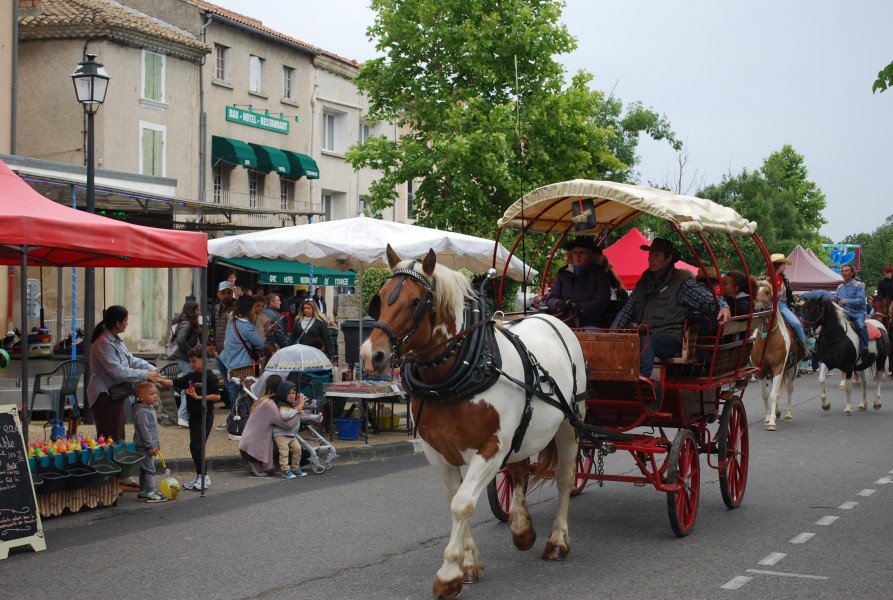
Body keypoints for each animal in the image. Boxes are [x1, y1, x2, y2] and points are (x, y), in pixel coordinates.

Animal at [360, 246, 584, 596]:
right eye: (380, 298)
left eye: (415, 302)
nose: (372, 356)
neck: (454, 373)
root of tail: (551, 317)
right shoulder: (436, 451)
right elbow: (455, 498)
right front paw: (468, 562)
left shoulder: (491, 448)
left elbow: (462, 503)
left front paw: (449, 573)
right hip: (523, 430)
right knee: (519, 470)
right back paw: (521, 528)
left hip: (569, 424)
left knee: (564, 478)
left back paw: (557, 541)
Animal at [748, 278, 796, 428]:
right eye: (754, 291)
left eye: (767, 292)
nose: (758, 309)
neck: (768, 338)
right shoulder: (761, 370)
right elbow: (764, 394)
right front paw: (768, 416)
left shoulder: (779, 367)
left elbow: (774, 394)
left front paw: (772, 422)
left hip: (792, 368)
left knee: (790, 388)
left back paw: (788, 414)